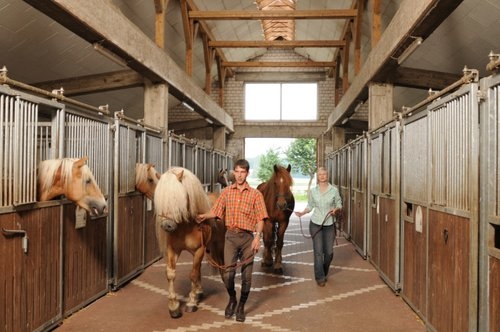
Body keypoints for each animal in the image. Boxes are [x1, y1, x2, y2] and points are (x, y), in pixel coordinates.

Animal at [153, 167, 226, 318]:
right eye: (161, 200)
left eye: (178, 199)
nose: (167, 226)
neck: (185, 227)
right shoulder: (172, 250)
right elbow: (171, 274)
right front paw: (174, 307)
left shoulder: (199, 250)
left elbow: (192, 274)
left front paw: (191, 303)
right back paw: (199, 292)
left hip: (219, 244)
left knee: (219, 264)